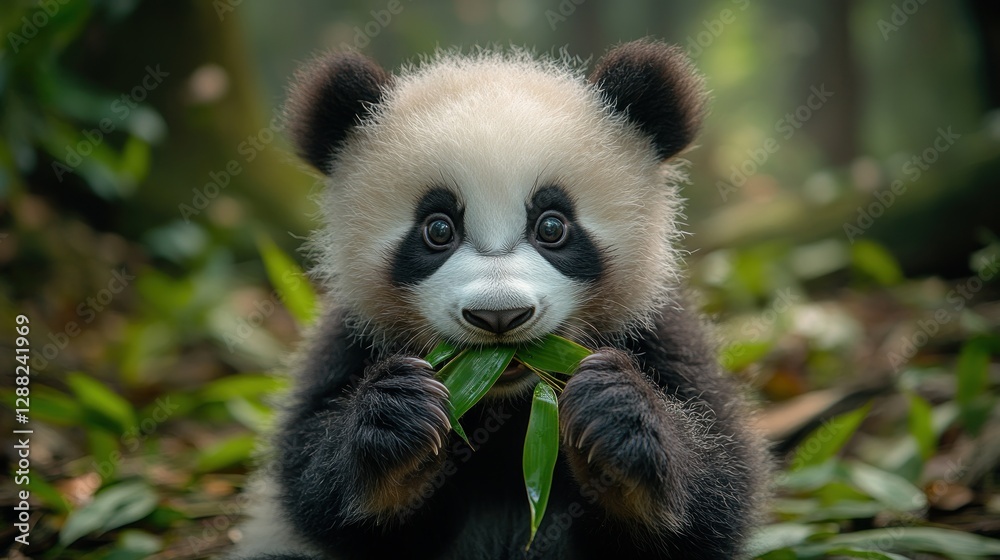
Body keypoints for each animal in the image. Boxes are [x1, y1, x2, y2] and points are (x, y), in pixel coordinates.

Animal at [229, 40, 767, 560]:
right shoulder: (350, 337)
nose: (499, 315)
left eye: (551, 226)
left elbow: (717, 489)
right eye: (438, 229)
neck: (507, 401)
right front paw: (397, 415)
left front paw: (615, 410)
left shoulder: (660, 332)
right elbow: (313, 482)